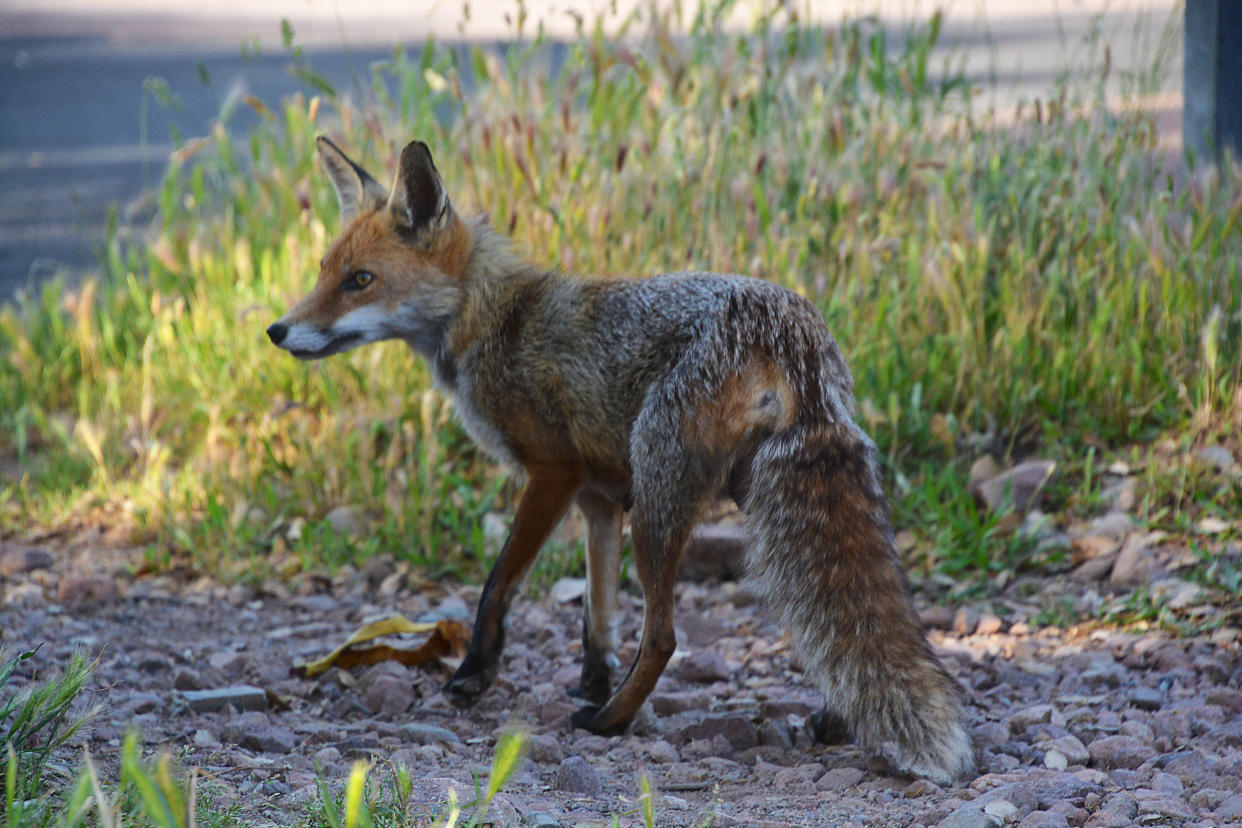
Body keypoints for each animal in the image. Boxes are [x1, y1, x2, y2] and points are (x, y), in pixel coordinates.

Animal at [267, 135, 973, 784]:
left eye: (360, 281)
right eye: (324, 271)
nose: (276, 331)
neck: (494, 321)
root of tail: (790, 330)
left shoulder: (552, 474)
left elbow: (498, 585)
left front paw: (477, 674)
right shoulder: (598, 500)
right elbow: (596, 616)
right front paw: (591, 680)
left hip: (662, 504)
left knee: (664, 637)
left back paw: (610, 723)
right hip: (756, 499)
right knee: (824, 618)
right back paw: (829, 718)